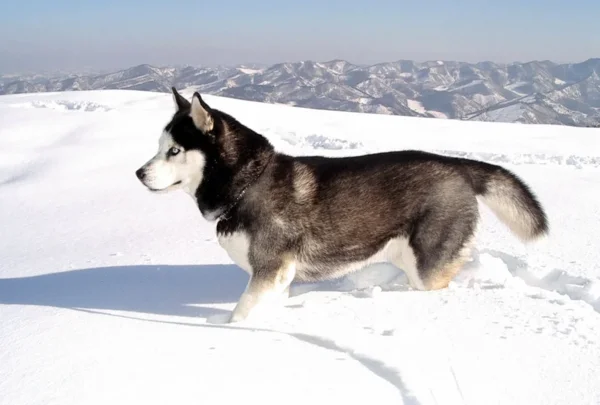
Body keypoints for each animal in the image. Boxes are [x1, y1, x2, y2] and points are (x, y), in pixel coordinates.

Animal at [136, 87, 548, 322]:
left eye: (174, 151)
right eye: (159, 147)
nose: (139, 173)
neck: (247, 185)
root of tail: (456, 165)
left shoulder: (270, 271)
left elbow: (240, 314)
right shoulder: (279, 279)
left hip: (427, 264)